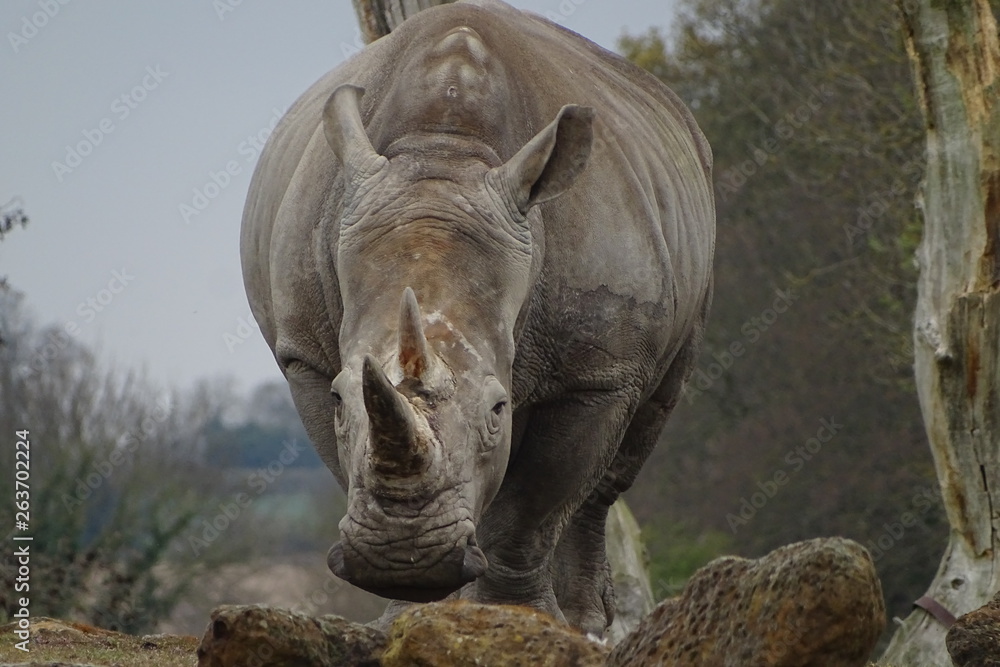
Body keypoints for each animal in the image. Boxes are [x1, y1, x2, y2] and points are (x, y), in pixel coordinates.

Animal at [240, 0, 714, 635]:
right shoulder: (306, 356)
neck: (445, 153)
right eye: (340, 398)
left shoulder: (599, 370)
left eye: (498, 409)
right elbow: (352, 461)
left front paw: (519, 622)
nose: (403, 559)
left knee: (637, 432)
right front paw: (413, 610)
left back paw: (586, 622)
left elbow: (536, 504)